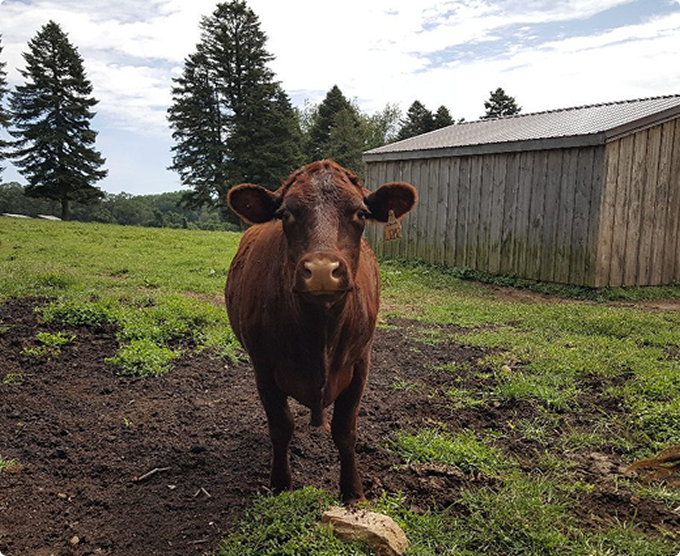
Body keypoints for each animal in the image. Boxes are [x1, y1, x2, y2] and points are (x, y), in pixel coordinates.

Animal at [225, 159, 416, 503]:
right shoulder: (263, 366)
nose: (323, 270)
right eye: (285, 213)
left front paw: (353, 491)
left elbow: (345, 430)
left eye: (361, 213)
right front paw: (280, 483)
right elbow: (281, 426)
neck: (319, 332)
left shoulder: (360, 363)